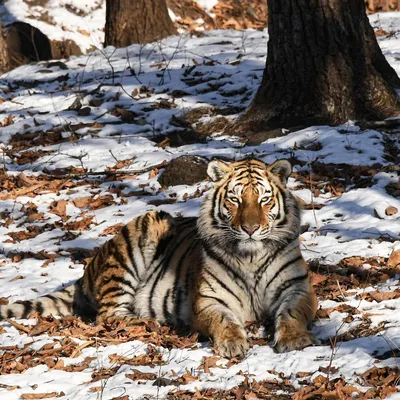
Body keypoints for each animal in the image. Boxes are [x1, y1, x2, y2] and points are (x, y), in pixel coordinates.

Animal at [0, 158, 318, 358]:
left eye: (264, 200)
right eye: (235, 200)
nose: (250, 228)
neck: (250, 255)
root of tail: (88, 271)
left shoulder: (298, 288)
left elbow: (292, 313)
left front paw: (294, 340)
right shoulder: (209, 299)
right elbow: (224, 321)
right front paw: (232, 343)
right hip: (144, 231)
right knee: (110, 315)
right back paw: (154, 322)